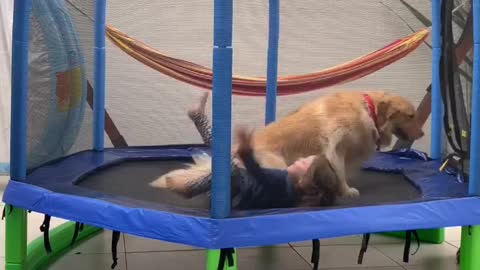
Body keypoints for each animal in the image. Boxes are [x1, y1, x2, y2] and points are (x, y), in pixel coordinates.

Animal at [152, 90, 422, 198]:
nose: (420, 134)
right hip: (276, 167)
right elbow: (339, 171)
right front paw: (346, 190)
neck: (368, 109)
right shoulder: (334, 146)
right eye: (411, 115)